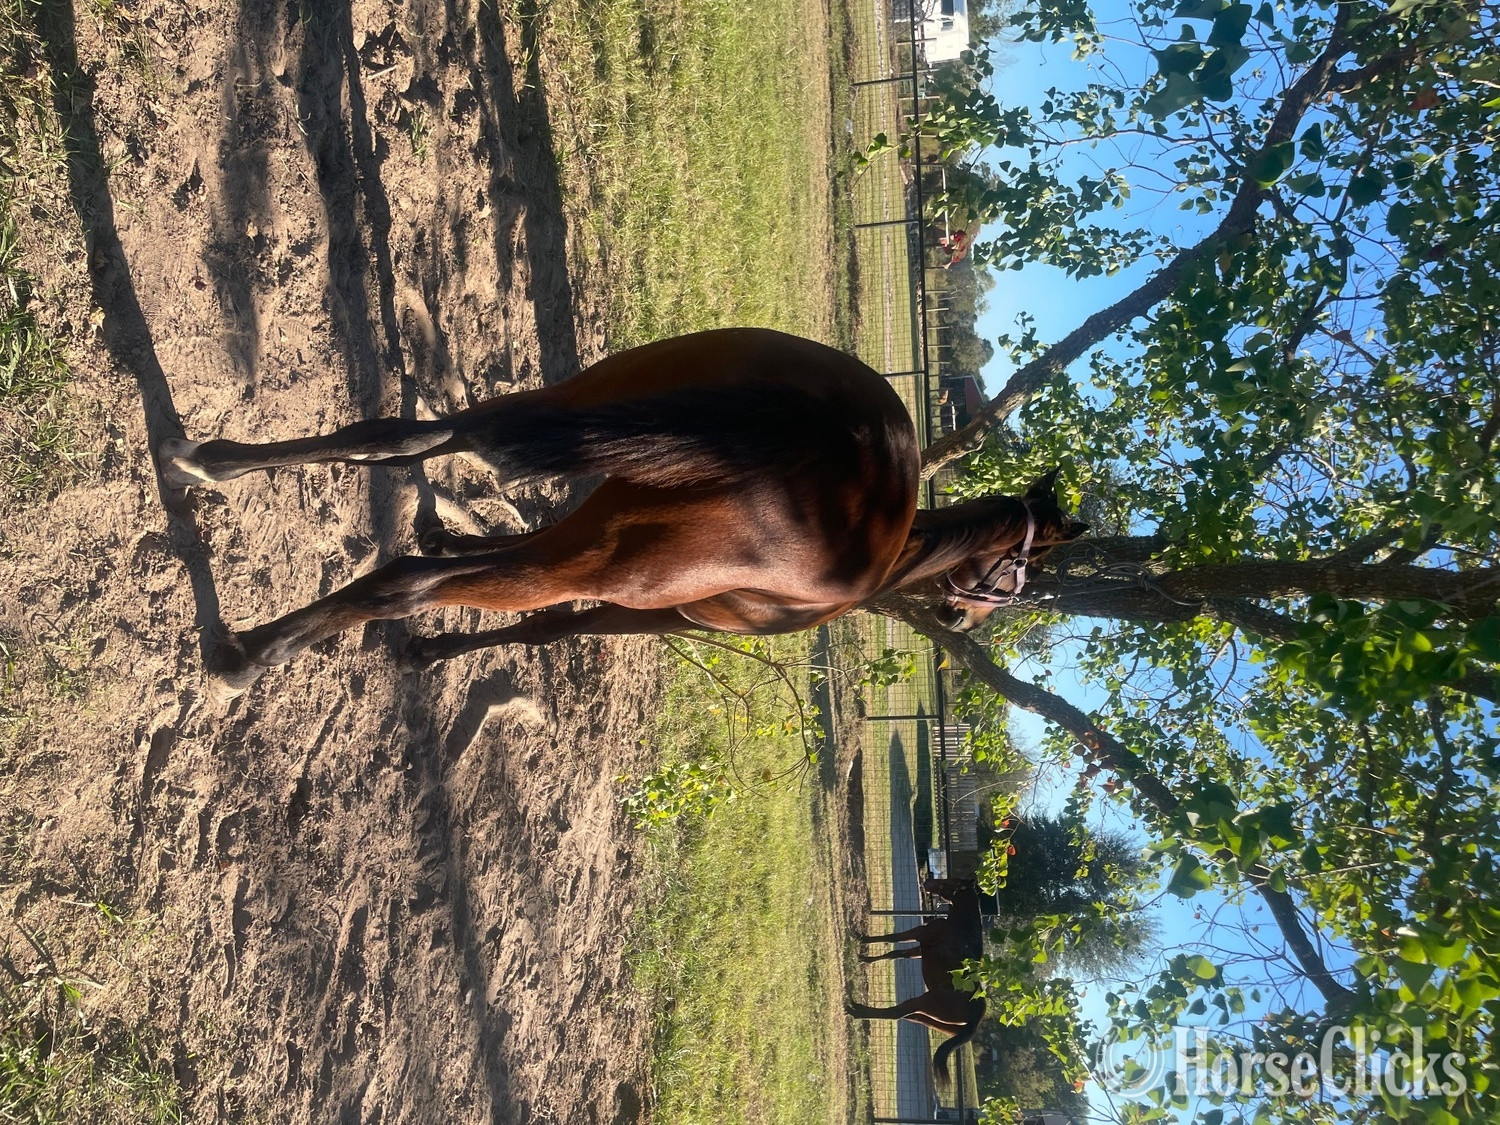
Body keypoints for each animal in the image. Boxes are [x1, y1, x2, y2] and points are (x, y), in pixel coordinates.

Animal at [157, 328, 1086, 694]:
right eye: (1026, 564)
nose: (965, 618)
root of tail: (836, 434)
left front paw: (440, 557)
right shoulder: (654, 615)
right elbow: (543, 631)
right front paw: (431, 648)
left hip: (582, 404)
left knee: (408, 436)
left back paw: (205, 461)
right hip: (612, 559)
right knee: (410, 581)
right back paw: (248, 655)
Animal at [849, 877, 987, 1083]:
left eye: (953, 880)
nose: (927, 881)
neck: (961, 928)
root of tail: (976, 1016)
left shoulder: (919, 933)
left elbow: (893, 937)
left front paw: (861, 938)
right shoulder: (920, 949)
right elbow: (894, 954)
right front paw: (865, 958)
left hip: (927, 1002)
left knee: (897, 1013)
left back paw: (855, 1010)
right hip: (940, 1022)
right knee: (913, 1016)